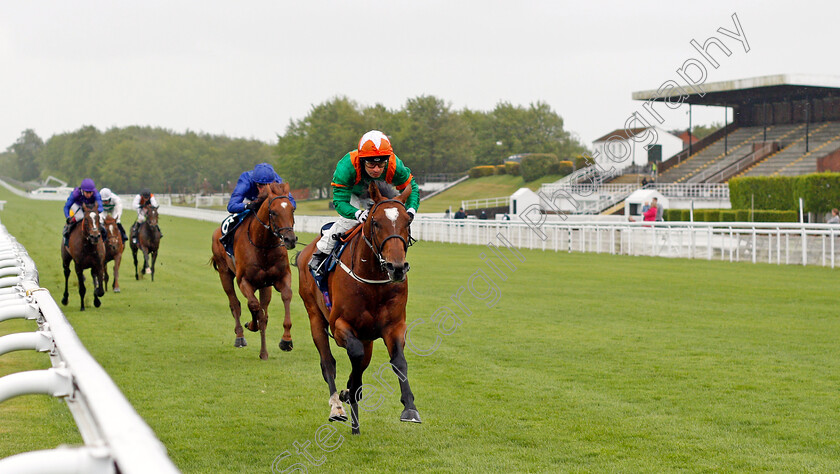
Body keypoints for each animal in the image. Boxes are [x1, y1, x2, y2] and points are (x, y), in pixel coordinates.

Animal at [212, 183, 296, 362]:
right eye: (273, 212)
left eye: (292, 209)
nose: (290, 240)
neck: (262, 245)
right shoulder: (244, 280)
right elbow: (253, 305)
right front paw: (251, 325)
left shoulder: (280, 277)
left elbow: (285, 296)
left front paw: (286, 340)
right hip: (224, 273)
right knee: (235, 304)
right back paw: (240, 336)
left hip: (264, 286)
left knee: (262, 312)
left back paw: (264, 352)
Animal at [298, 183, 424, 436]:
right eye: (375, 222)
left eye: (407, 221)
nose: (397, 267)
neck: (373, 280)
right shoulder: (339, 326)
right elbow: (352, 357)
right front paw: (348, 391)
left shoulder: (394, 325)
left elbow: (399, 361)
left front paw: (410, 408)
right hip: (315, 317)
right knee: (328, 363)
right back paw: (337, 406)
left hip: (367, 339)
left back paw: (355, 421)